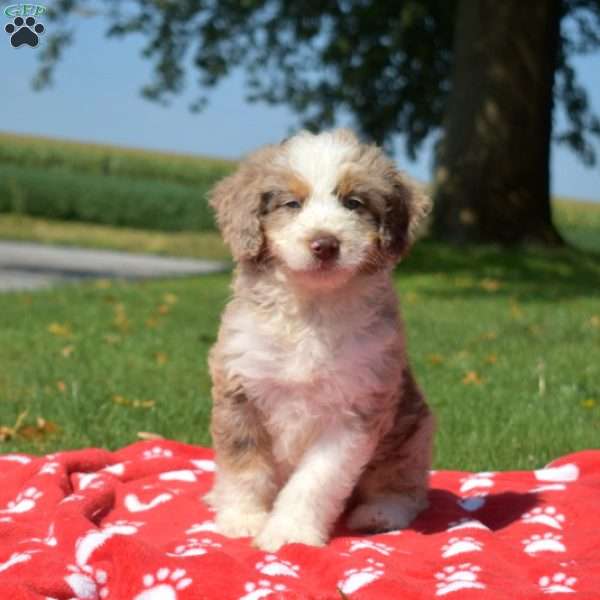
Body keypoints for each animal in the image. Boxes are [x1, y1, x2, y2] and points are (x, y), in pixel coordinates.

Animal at [204, 129, 434, 552]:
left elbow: (315, 480)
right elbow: (244, 465)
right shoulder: (239, 388)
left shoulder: (357, 407)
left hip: (411, 434)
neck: (312, 311)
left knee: (406, 490)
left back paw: (379, 514)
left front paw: (289, 532)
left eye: (354, 202)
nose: (325, 244)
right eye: (292, 203)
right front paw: (243, 519)